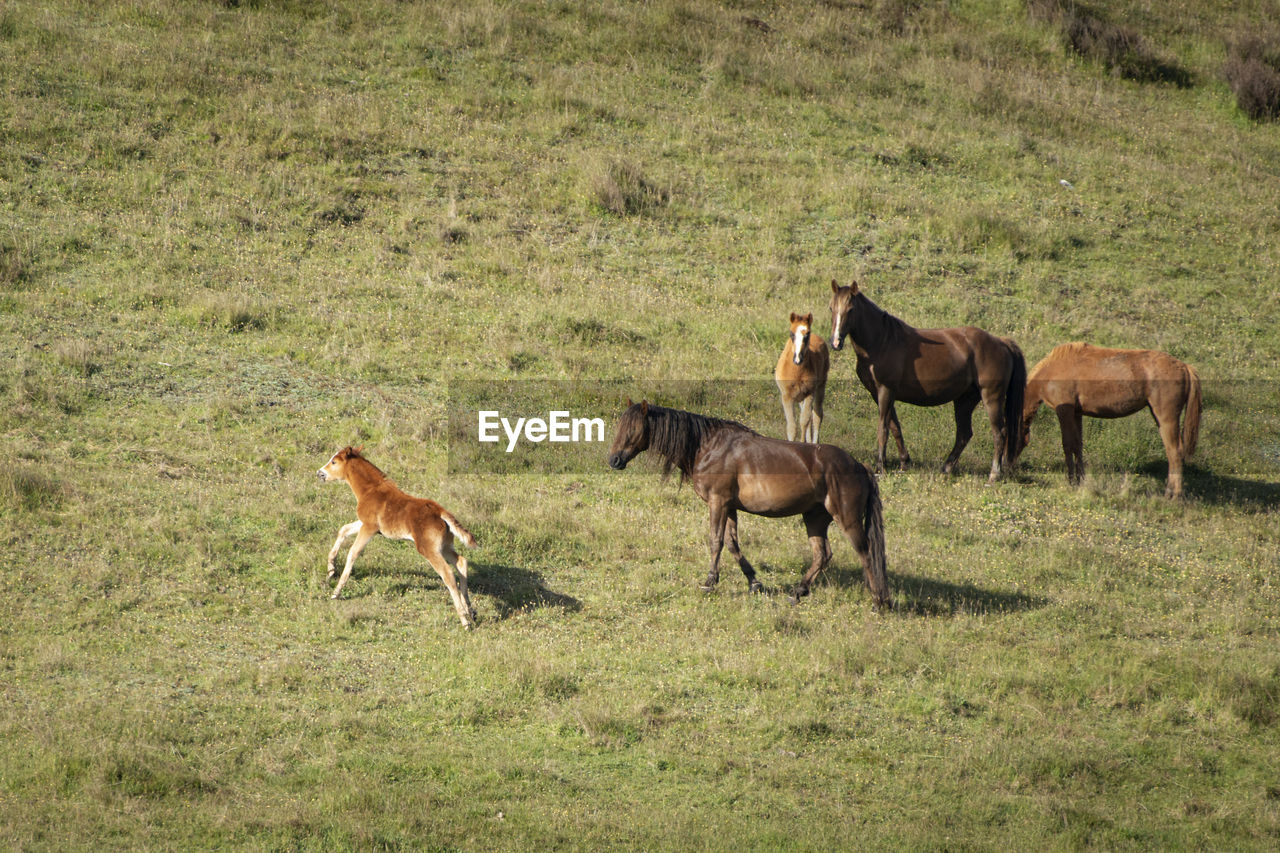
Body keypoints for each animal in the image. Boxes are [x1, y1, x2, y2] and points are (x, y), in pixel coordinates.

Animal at [317, 445, 478, 625]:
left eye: (334, 461)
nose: (319, 473)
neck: (370, 490)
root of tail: (440, 511)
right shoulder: (366, 524)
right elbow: (343, 530)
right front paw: (331, 569)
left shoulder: (369, 527)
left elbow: (353, 552)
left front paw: (336, 592)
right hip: (445, 546)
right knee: (461, 562)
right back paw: (470, 611)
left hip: (428, 548)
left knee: (448, 573)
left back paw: (464, 620)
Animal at [601, 399, 890, 604]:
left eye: (634, 429)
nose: (613, 460)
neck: (707, 446)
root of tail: (860, 466)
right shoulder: (729, 507)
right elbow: (732, 543)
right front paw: (754, 582)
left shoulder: (717, 503)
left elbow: (716, 541)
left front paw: (709, 582)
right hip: (815, 518)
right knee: (822, 555)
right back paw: (798, 592)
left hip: (847, 519)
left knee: (865, 553)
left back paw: (878, 600)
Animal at [773, 312, 834, 445]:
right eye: (791, 333)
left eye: (807, 334)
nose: (798, 359)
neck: (797, 372)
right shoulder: (786, 397)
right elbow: (792, 427)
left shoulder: (809, 393)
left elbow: (804, 421)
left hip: (820, 387)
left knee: (817, 415)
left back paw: (814, 443)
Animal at [829, 277, 1029, 479]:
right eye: (831, 308)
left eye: (851, 309)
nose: (836, 342)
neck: (882, 342)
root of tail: (1001, 342)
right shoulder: (879, 393)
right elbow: (895, 427)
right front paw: (904, 462)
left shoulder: (886, 391)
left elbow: (883, 429)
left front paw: (880, 468)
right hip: (965, 400)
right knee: (964, 434)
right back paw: (946, 467)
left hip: (991, 397)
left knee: (999, 432)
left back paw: (994, 474)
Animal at [1013, 340, 1203, 499]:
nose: (1010, 467)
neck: (1053, 369)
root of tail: (1185, 367)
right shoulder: (1076, 413)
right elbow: (1077, 445)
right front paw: (1080, 480)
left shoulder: (1065, 412)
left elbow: (1067, 445)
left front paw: (1071, 481)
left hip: (1166, 419)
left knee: (1175, 452)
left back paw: (1173, 495)